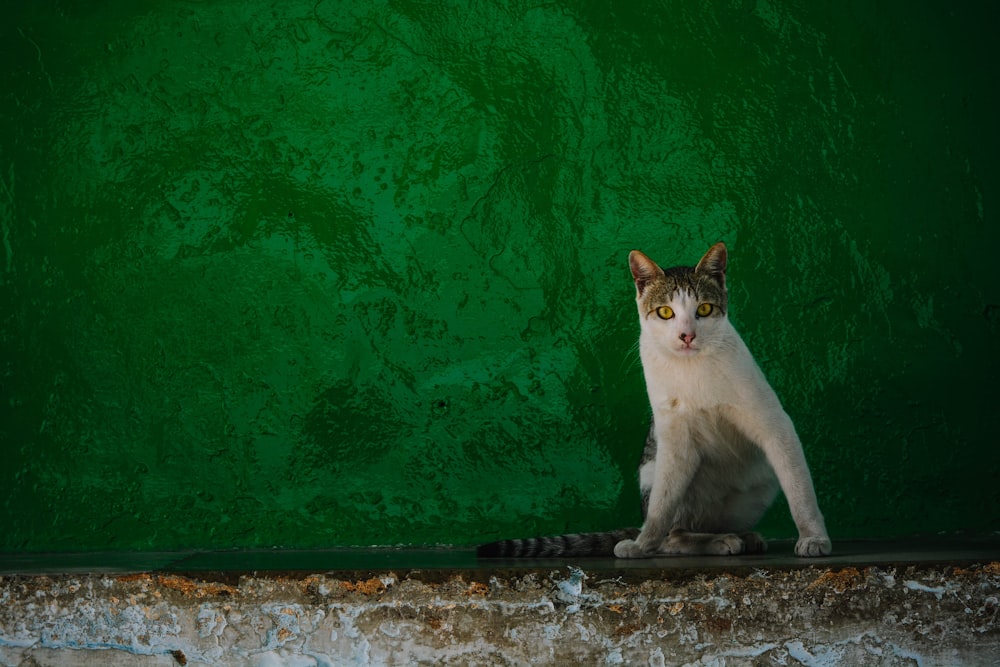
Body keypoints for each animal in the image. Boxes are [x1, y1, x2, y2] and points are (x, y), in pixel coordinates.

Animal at [476, 244, 828, 560]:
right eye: (665, 312)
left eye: (703, 309)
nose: (687, 335)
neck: (692, 368)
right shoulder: (673, 440)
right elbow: (661, 508)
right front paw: (643, 545)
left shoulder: (775, 425)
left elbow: (801, 493)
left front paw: (813, 537)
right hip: (654, 468)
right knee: (673, 533)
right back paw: (712, 540)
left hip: (761, 482)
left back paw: (739, 535)